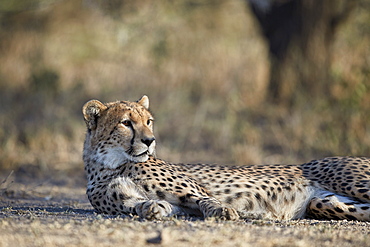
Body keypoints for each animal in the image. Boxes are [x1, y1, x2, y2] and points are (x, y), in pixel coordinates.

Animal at [82, 95, 370, 221]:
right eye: (126, 123)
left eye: (149, 122)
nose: (150, 141)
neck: (109, 164)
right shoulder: (138, 200)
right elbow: (144, 205)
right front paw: (151, 208)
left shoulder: (196, 192)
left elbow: (207, 200)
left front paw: (225, 211)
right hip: (324, 203)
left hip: (355, 184)